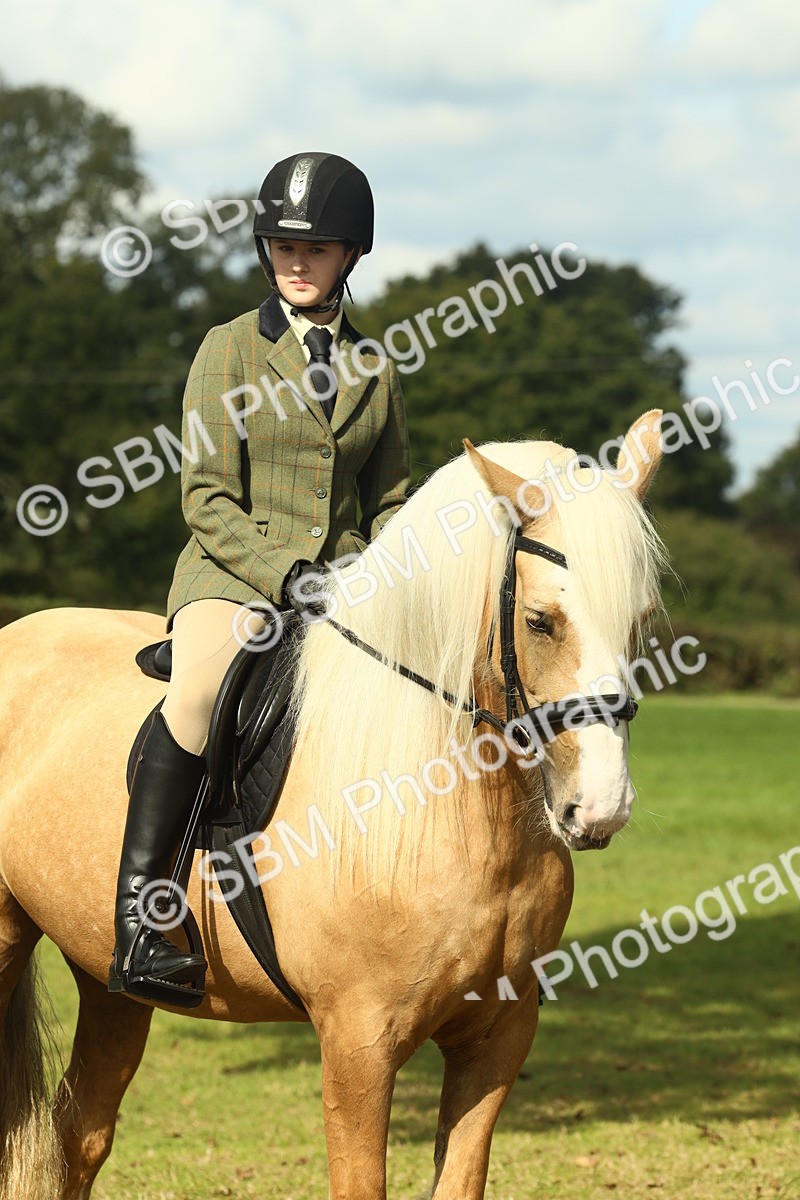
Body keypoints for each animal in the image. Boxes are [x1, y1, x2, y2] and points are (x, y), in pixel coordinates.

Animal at [0, 411, 666, 1200]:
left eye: (641, 620)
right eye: (540, 621)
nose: (600, 806)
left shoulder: (497, 1036)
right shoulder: (357, 1044)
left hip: (106, 980)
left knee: (80, 1134)